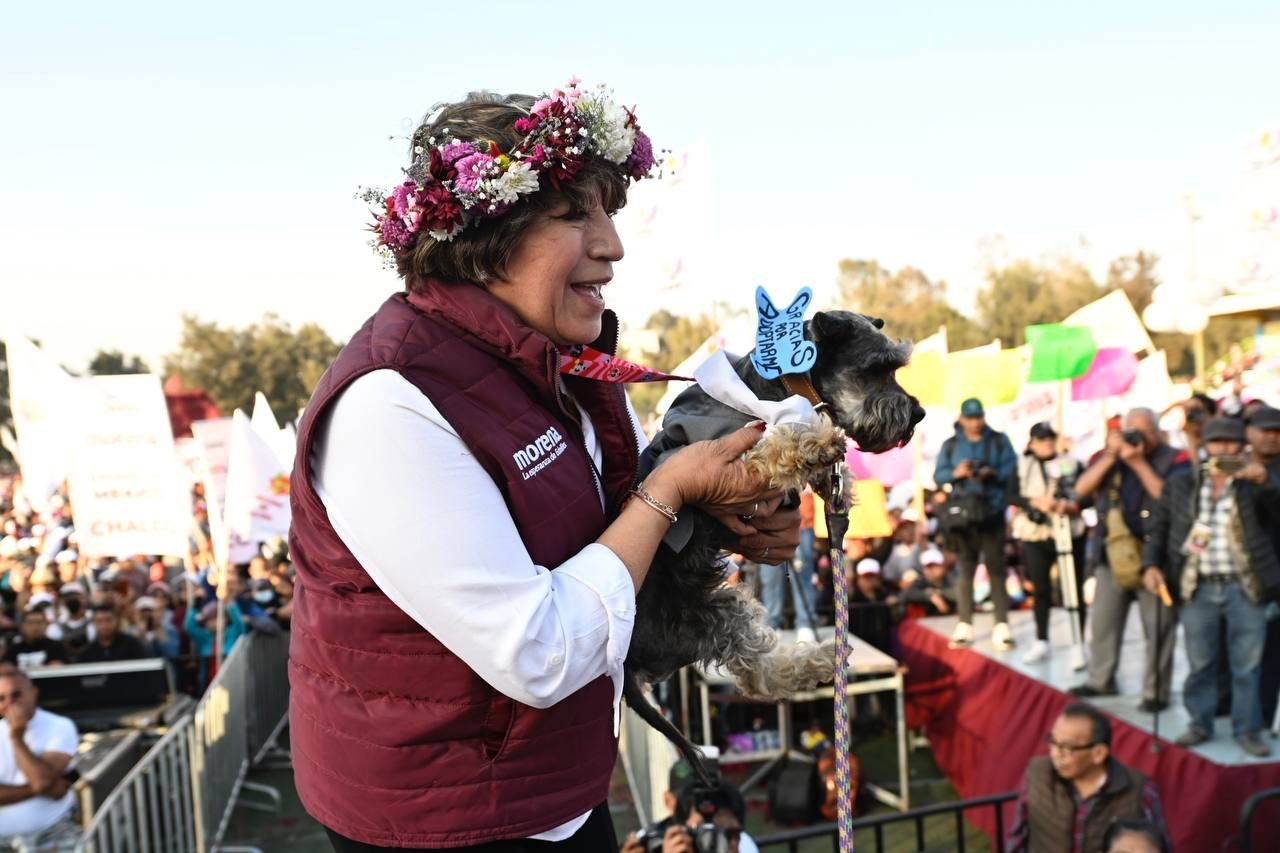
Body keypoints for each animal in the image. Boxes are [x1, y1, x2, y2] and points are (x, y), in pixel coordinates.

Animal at [627, 290, 921, 768]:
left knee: (759, 677)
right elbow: (777, 445)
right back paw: (825, 655)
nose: (919, 412)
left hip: (721, 613)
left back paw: (822, 658)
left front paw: (840, 480)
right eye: (876, 367)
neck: (783, 388)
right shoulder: (734, 460)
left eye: (895, 367)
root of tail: (627, 664)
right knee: (754, 680)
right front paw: (818, 444)